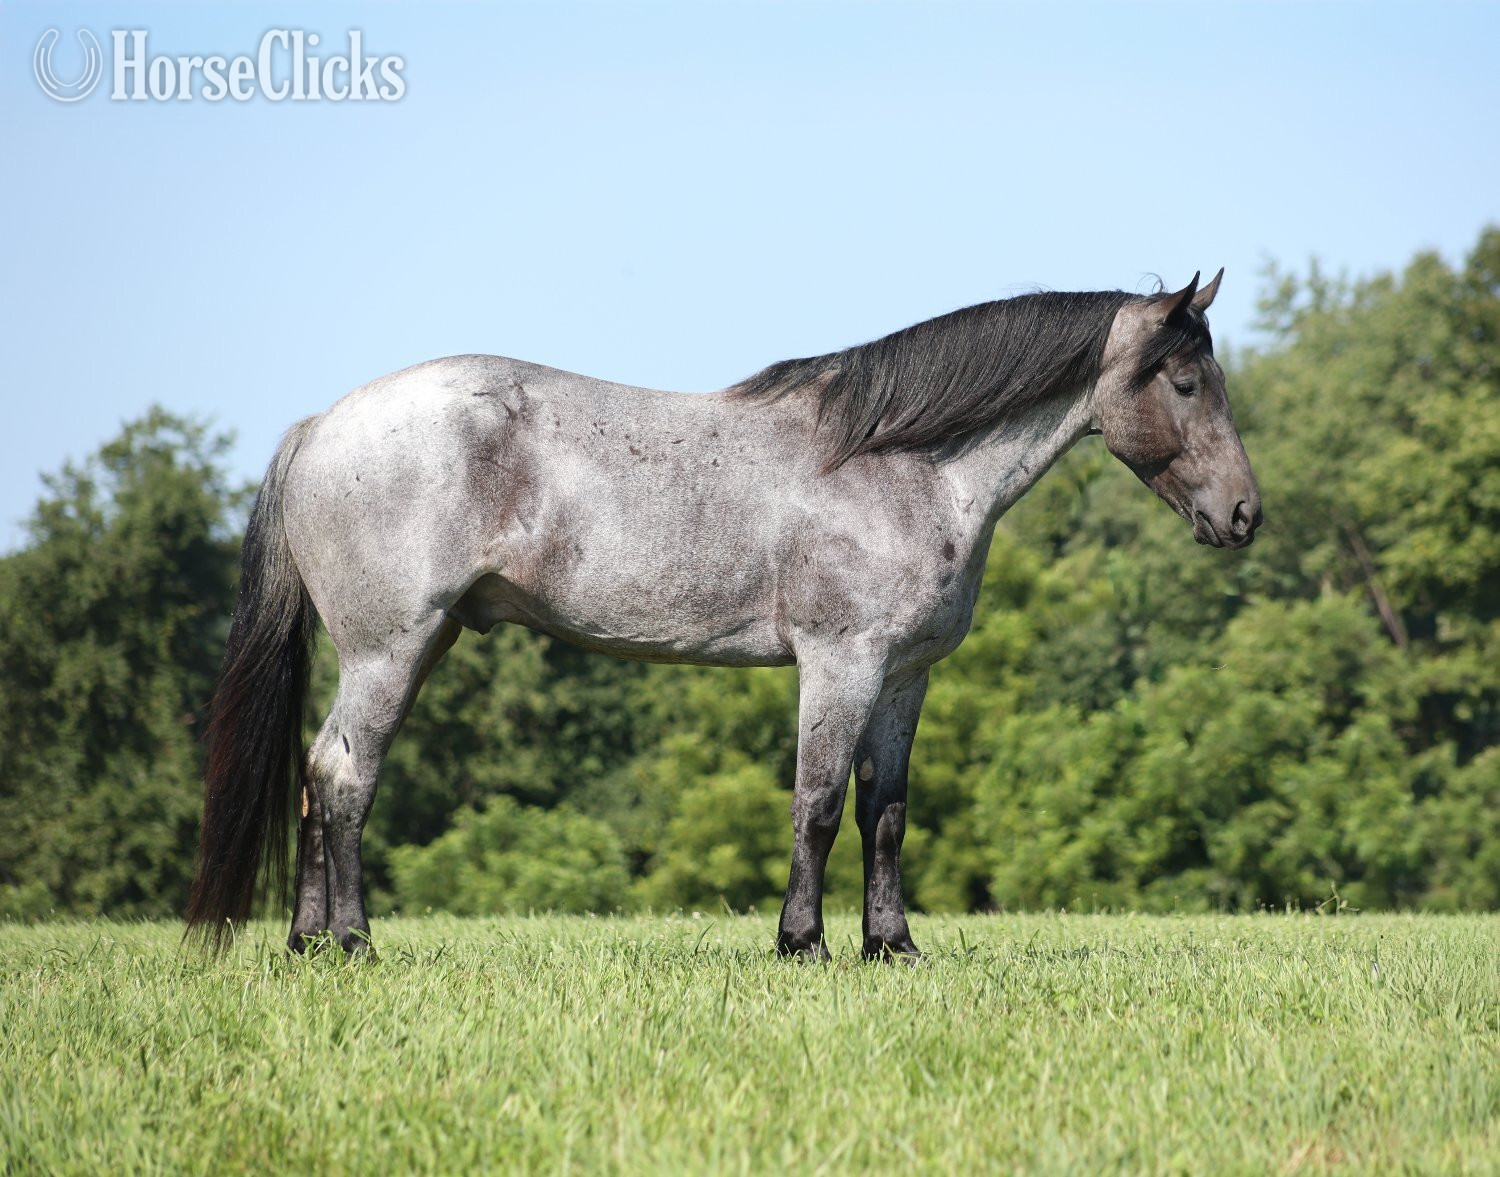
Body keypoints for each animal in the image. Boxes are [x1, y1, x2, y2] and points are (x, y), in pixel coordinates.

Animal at [186, 270, 1261, 960]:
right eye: (1183, 380)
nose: (1246, 514)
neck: (901, 465)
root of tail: (320, 425)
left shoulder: (905, 676)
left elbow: (886, 811)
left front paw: (893, 945)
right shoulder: (840, 662)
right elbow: (817, 802)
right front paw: (802, 944)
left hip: (414, 645)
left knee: (320, 777)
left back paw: (307, 943)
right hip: (389, 649)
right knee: (344, 775)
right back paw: (355, 942)